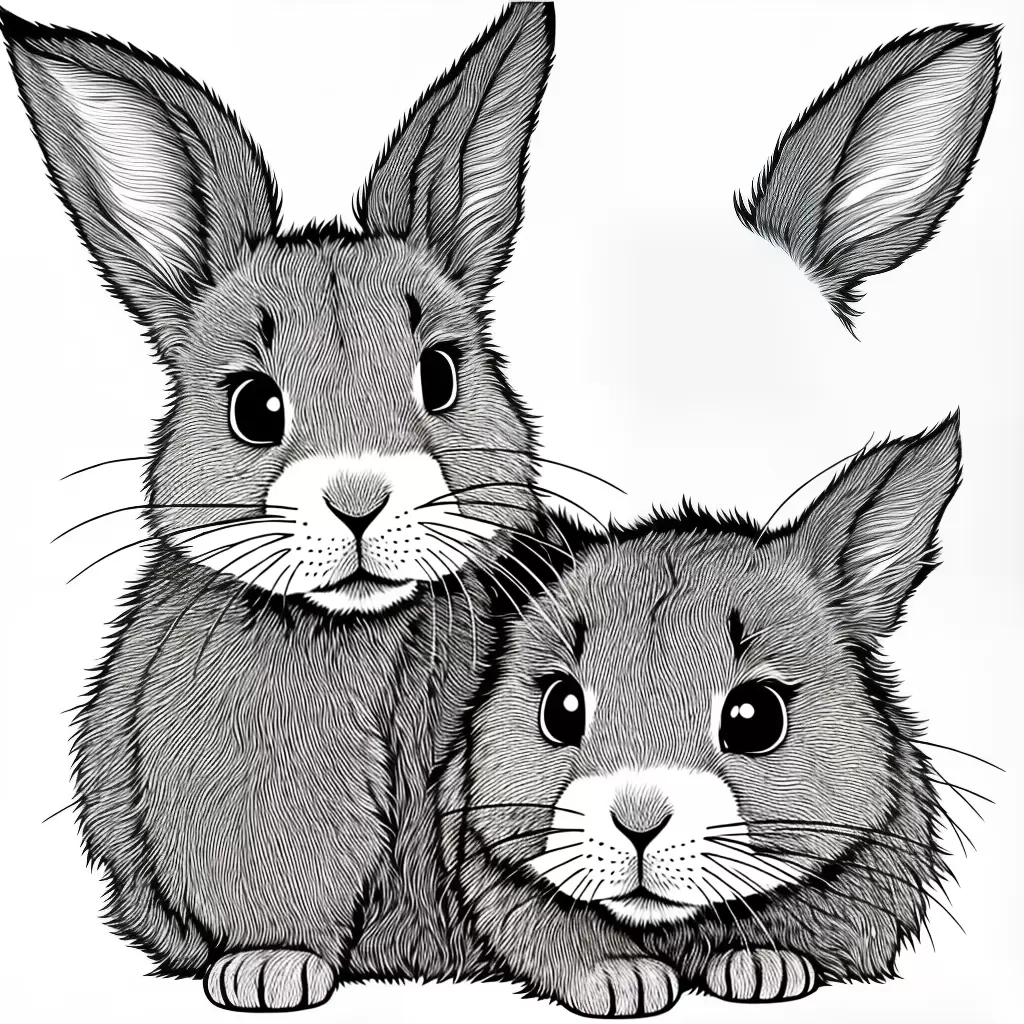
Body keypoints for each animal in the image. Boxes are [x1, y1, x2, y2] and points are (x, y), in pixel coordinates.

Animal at [448, 416, 961, 1016]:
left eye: (756, 717)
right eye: (561, 708)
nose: (639, 823)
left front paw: (763, 965)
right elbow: (546, 928)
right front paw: (619, 978)